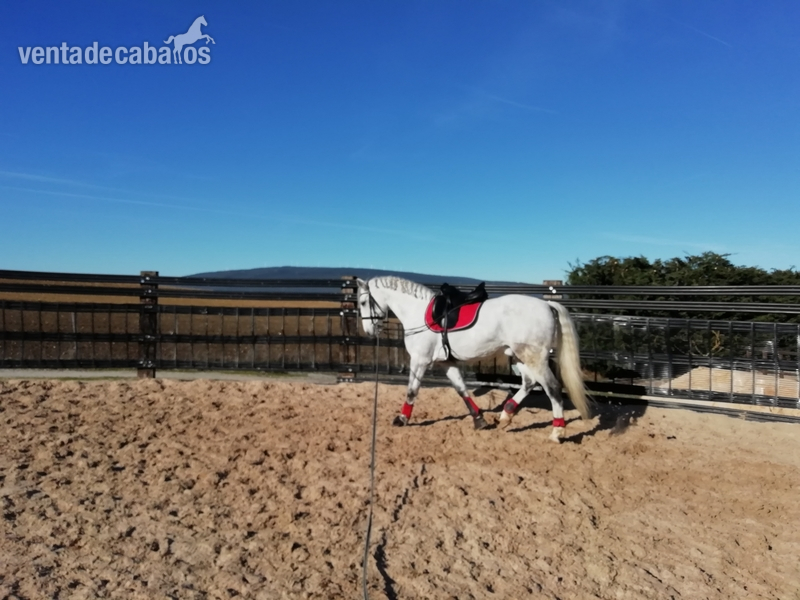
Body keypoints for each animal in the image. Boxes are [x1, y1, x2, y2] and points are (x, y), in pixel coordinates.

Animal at [356, 276, 593, 442]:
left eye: (363, 301)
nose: (369, 331)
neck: (418, 312)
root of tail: (548, 305)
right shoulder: (446, 363)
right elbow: (461, 389)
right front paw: (479, 420)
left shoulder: (420, 360)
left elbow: (412, 391)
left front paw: (401, 419)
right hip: (519, 356)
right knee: (529, 382)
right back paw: (505, 415)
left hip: (534, 358)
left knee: (552, 388)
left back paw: (557, 432)